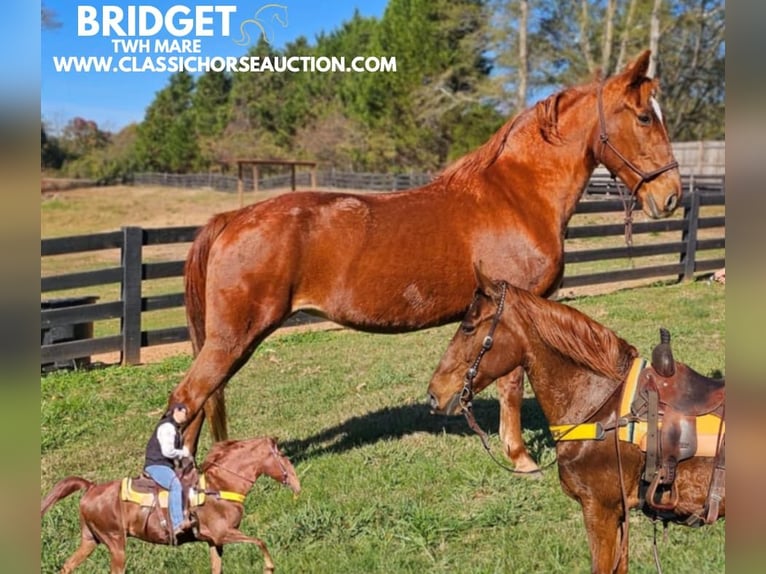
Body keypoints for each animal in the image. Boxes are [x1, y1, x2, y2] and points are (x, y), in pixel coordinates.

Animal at [40, 438, 300, 572]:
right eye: (283, 457)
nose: (298, 485)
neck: (219, 486)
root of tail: (91, 488)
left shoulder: (214, 542)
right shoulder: (223, 533)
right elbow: (260, 541)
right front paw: (269, 567)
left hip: (90, 540)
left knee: (67, 567)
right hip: (116, 544)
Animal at [171, 50, 680, 476]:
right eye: (643, 117)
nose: (670, 196)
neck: (517, 195)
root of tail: (233, 218)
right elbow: (513, 386)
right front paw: (520, 457)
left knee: (193, 406)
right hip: (232, 339)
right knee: (187, 398)